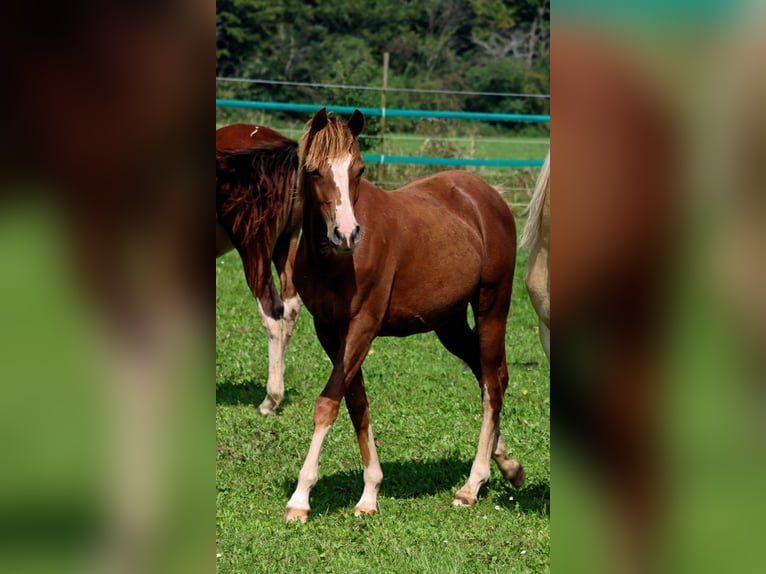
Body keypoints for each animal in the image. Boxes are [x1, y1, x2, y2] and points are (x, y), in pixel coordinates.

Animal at [284, 109, 532, 528]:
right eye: (314, 170)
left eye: (359, 169)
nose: (347, 234)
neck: (334, 261)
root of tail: (487, 196)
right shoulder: (329, 331)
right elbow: (355, 402)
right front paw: (369, 493)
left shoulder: (363, 325)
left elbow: (328, 403)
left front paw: (300, 499)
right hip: (449, 324)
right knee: (488, 376)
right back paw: (508, 467)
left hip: (492, 307)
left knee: (493, 385)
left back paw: (472, 485)